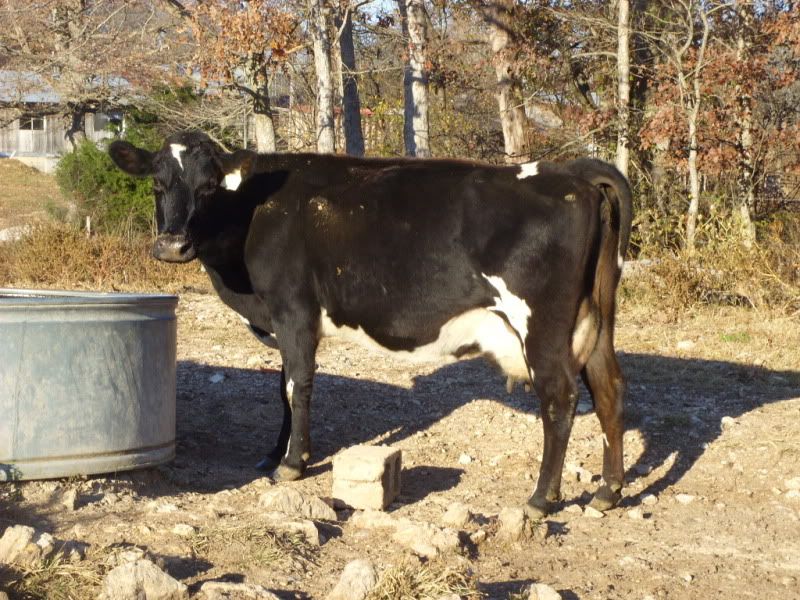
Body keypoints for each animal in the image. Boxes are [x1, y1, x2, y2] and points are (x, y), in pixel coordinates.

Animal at [109, 130, 632, 517]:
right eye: (157, 185)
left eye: (208, 187)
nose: (172, 245)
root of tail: (569, 171)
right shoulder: (282, 320)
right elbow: (282, 387)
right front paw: (274, 453)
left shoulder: (293, 310)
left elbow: (297, 385)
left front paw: (292, 464)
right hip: (596, 323)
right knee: (609, 388)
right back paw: (609, 491)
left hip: (542, 326)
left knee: (560, 399)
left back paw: (542, 499)